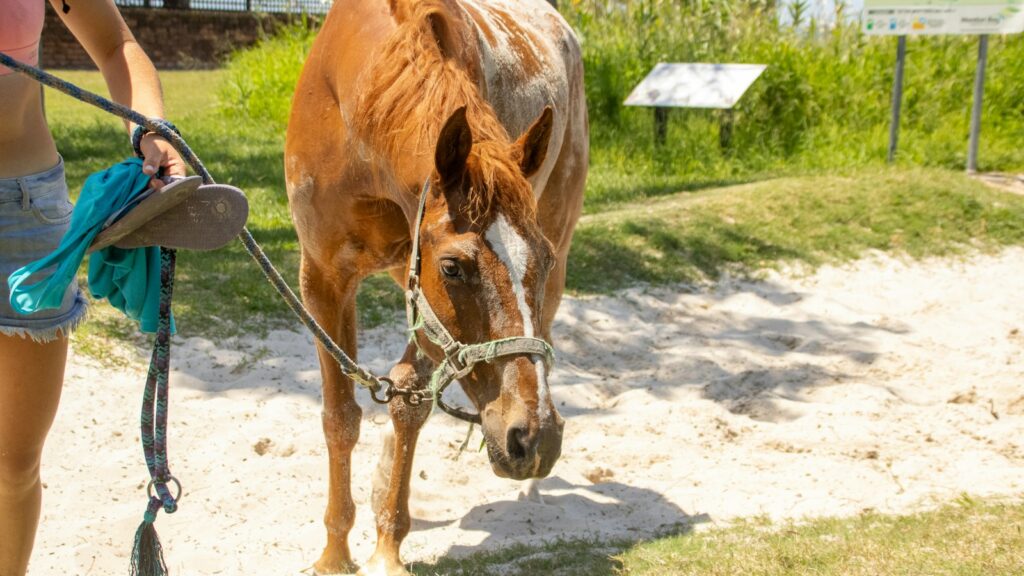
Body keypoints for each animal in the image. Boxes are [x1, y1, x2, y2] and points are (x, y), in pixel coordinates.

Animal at [284, 0, 587, 573]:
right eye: (452, 268)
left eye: (540, 257)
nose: (534, 437)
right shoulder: (323, 279)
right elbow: (340, 417)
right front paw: (335, 553)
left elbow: (407, 403)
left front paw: (387, 546)